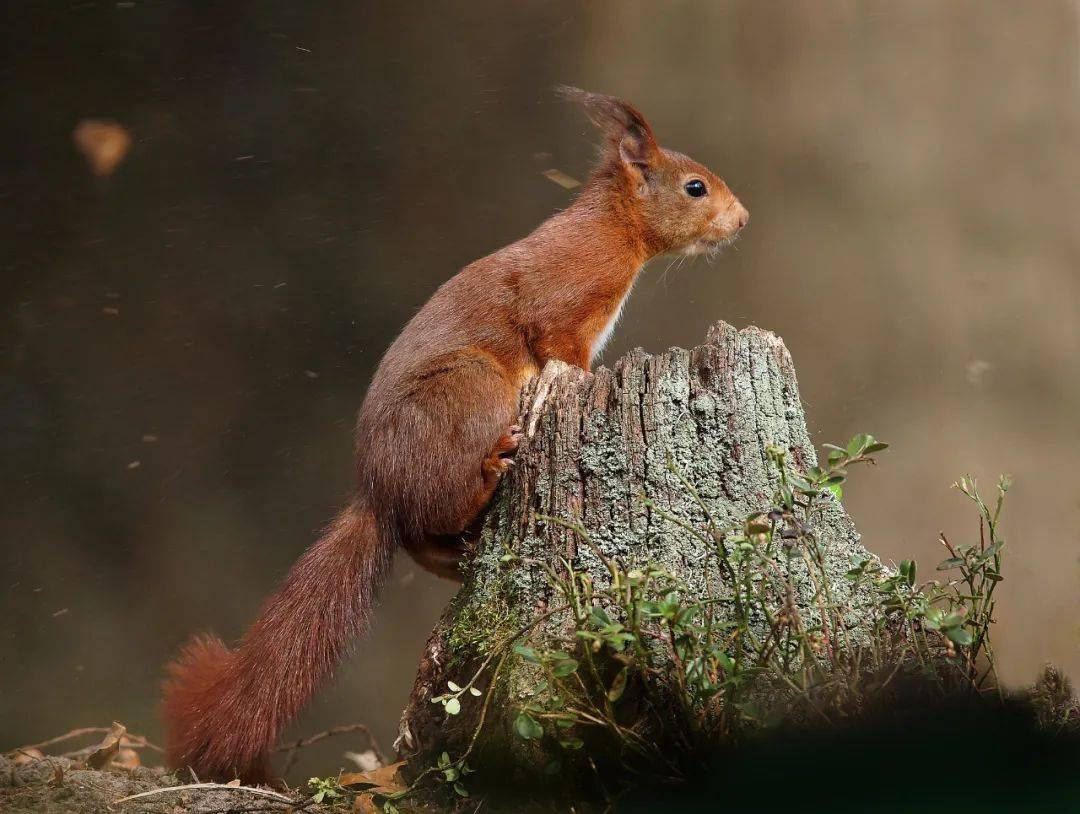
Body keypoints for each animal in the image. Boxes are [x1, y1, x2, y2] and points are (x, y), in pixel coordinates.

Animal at [162, 87, 751, 781]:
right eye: (695, 187)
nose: (742, 220)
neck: (613, 229)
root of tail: (378, 490)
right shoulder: (561, 305)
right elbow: (560, 347)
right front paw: (584, 378)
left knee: (422, 536)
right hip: (471, 391)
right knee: (440, 504)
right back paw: (492, 469)